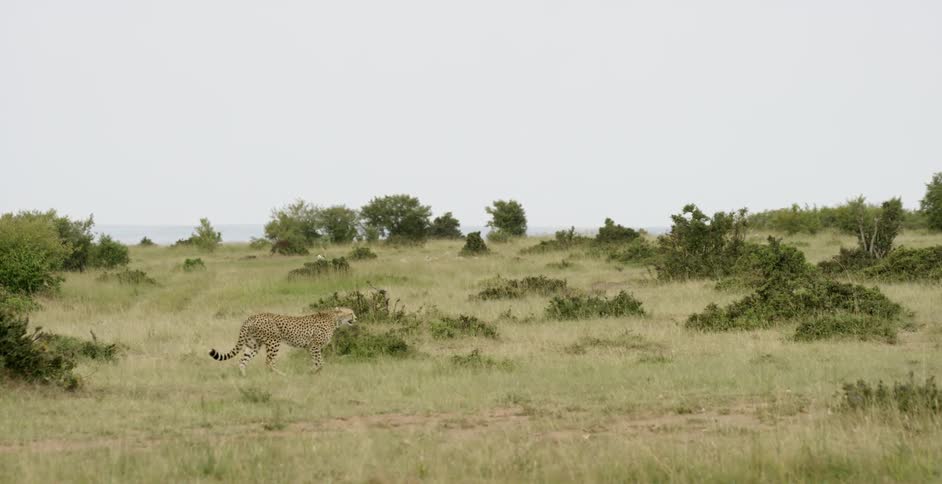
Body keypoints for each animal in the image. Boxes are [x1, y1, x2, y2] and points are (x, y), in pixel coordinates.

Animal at [209, 307, 357, 376]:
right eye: (350, 313)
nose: (356, 318)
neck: (334, 319)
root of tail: (253, 316)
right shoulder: (314, 345)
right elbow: (320, 362)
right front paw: (313, 372)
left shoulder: (310, 347)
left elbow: (317, 361)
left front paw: (314, 372)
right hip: (274, 341)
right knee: (269, 362)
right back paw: (282, 375)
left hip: (254, 344)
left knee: (242, 361)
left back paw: (244, 377)